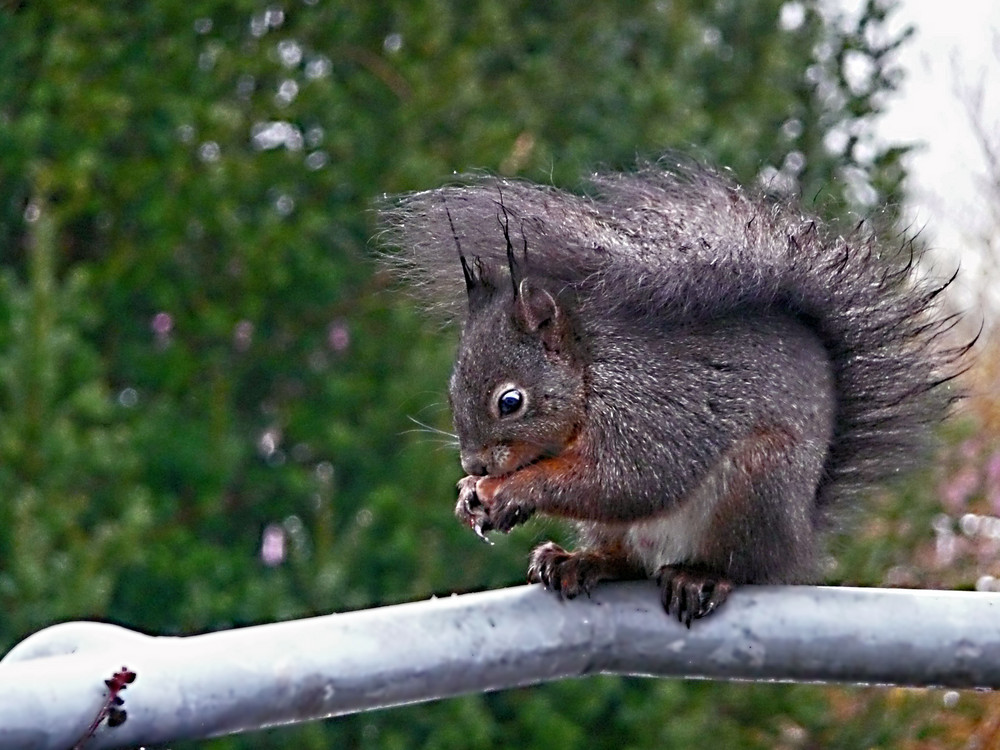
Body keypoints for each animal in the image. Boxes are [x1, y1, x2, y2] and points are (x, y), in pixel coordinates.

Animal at [380, 163, 968, 628]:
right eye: (453, 390)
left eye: (510, 401)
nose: (474, 462)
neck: (591, 374)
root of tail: (798, 540)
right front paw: (471, 494)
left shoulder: (650, 410)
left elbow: (627, 480)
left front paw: (507, 492)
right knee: (627, 560)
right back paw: (578, 561)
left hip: (755, 487)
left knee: (742, 568)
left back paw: (700, 578)